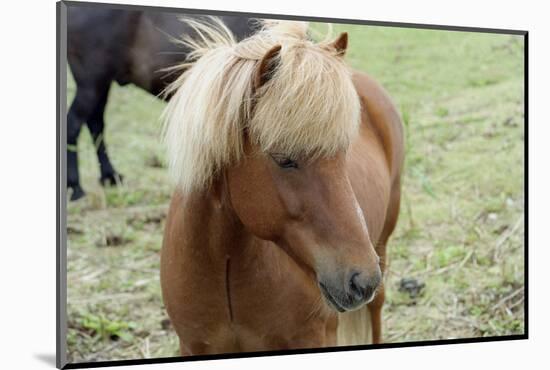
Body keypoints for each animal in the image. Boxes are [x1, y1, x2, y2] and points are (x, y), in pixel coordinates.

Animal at [68, 6, 258, 199]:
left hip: (101, 84)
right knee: (74, 124)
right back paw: (76, 188)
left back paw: (110, 176)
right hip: (92, 83)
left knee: (95, 123)